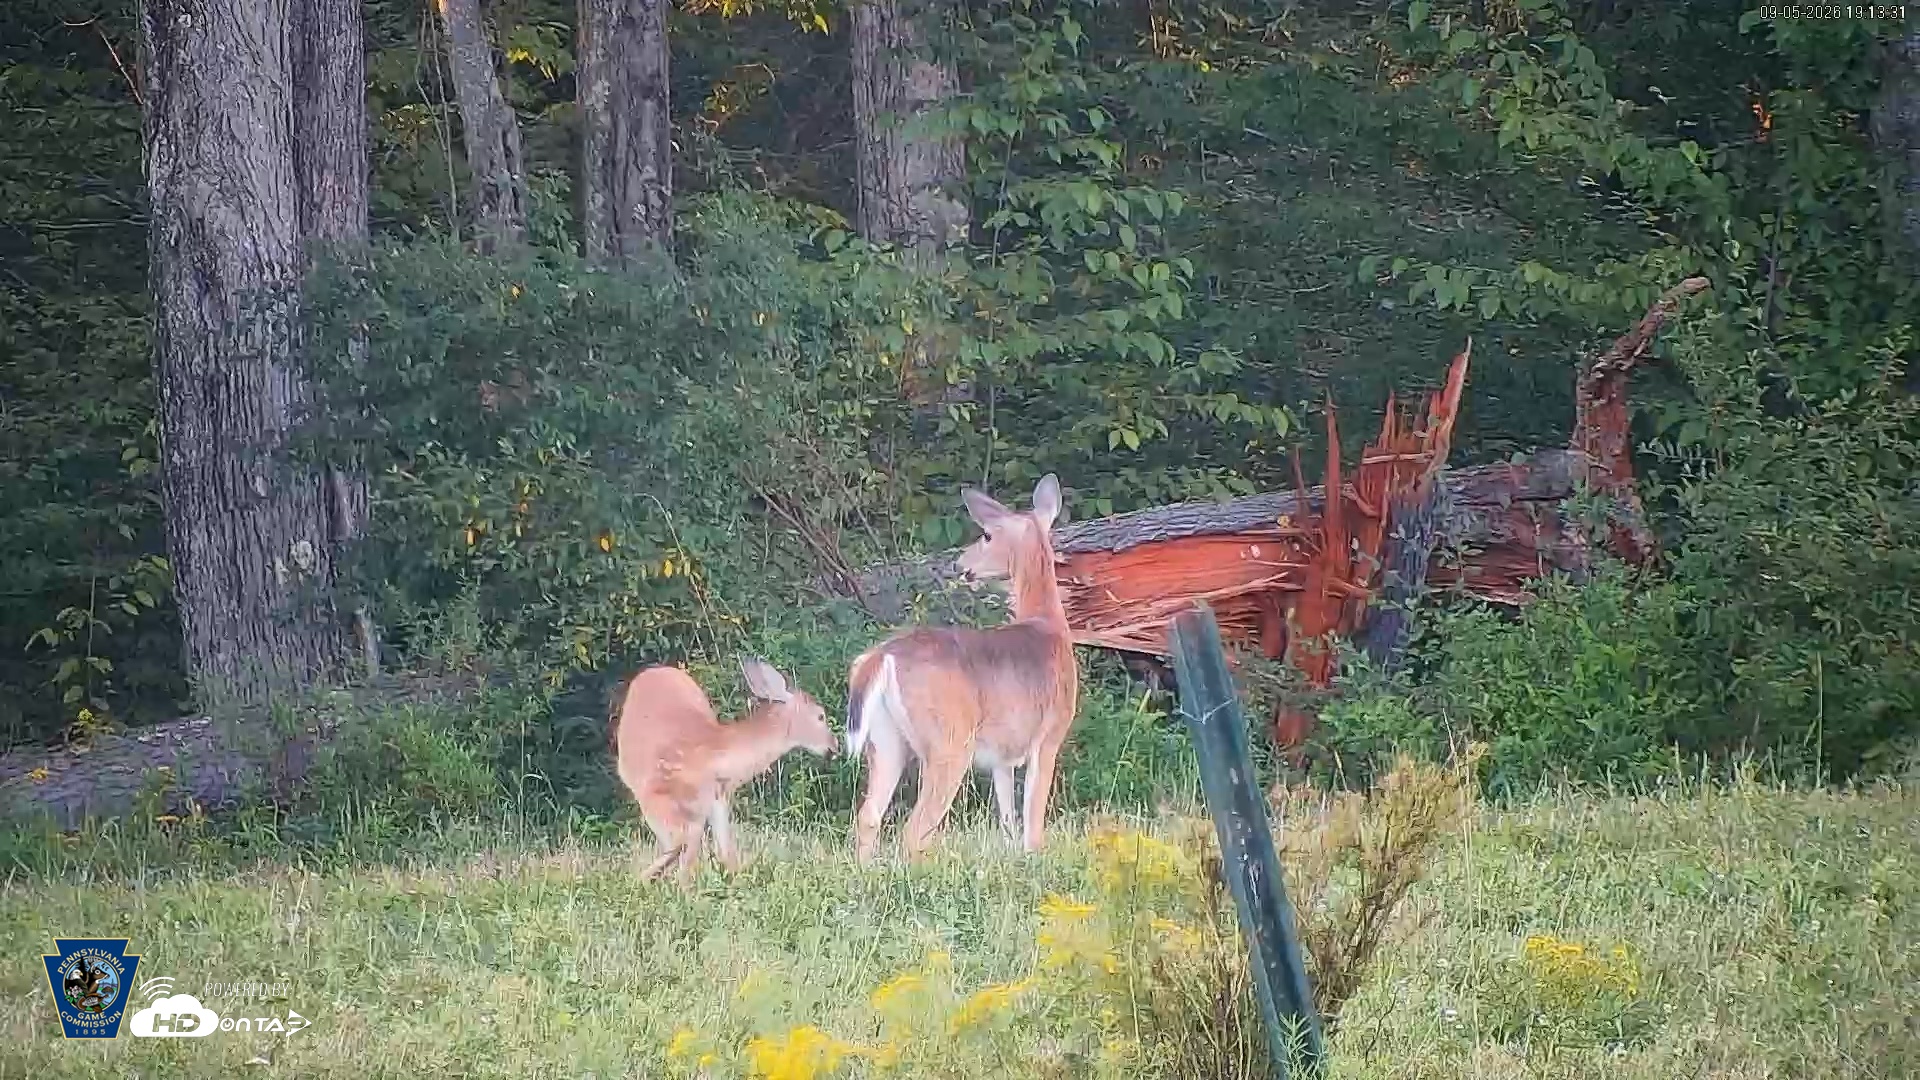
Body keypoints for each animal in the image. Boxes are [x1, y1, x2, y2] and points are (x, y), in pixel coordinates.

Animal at [609, 657, 836, 888]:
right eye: (820, 716)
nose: (834, 747)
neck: (711, 756)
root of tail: (657, 670)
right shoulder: (653, 794)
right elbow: (680, 846)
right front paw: (646, 880)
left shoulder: (717, 798)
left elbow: (724, 852)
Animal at [844, 473, 1079, 864]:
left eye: (986, 535)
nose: (959, 564)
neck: (1048, 625)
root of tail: (881, 657)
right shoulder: (1049, 735)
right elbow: (1032, 822)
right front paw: (1034, 858)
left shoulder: (1003, 755)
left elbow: (1007, 819)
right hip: (950, 741)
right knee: (914, 829)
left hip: (885, 740)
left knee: (868, 816)